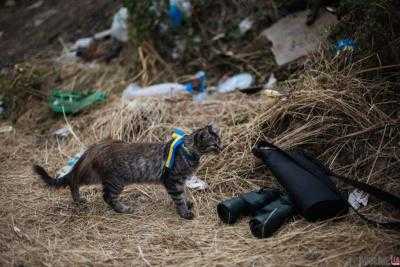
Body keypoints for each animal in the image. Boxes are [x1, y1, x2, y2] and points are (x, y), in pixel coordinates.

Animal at [33, 125, 222, 220]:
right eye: (214, 144)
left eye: (220, 141)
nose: (222, 148)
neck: (187, 150)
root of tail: (96, 146)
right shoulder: (172, 180)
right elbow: (179, 197)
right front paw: (184, 212)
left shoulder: (181, 181)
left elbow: (184, 194)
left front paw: (187, 203)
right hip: (114, 180)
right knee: (98, 192)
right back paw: (122, 209)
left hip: (97, 175)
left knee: (74, 179)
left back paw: (78, 200)